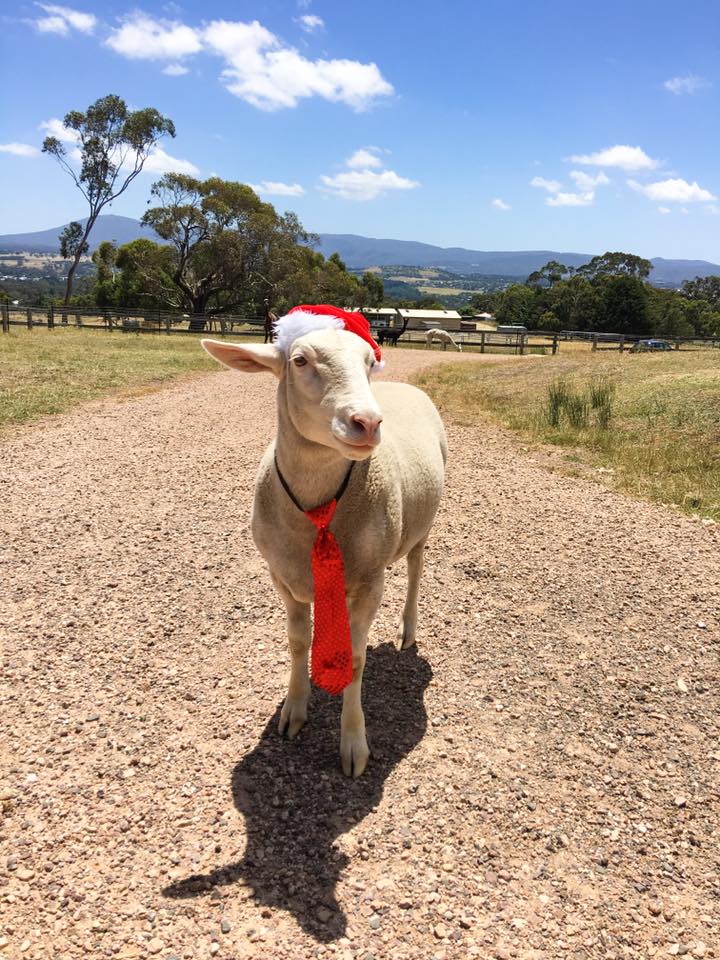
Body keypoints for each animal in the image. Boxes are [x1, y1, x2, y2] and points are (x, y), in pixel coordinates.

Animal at [202, 310, 448, 780]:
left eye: (370, 361)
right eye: (300, 360)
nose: (368, 423)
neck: (318, 508)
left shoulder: (369, 583)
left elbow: (354, 660)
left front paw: (353, 742)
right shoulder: (284, 579)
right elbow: (298, 644)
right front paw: (294, 711)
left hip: (422, 525)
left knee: (415, 569)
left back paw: (408, 629)